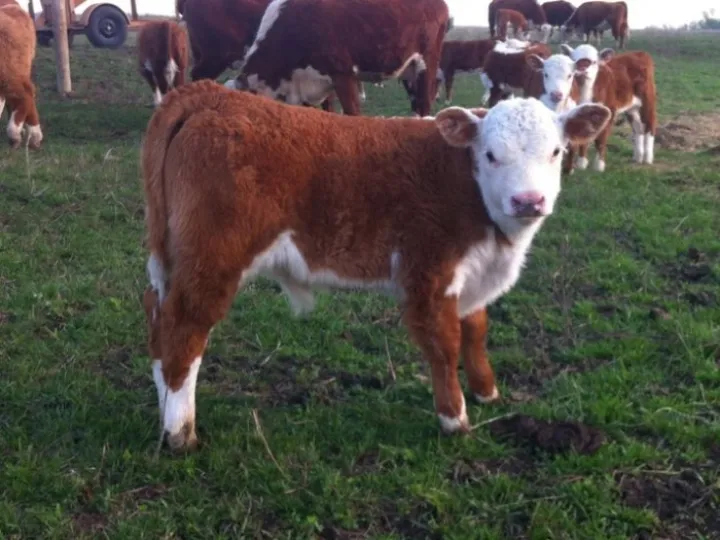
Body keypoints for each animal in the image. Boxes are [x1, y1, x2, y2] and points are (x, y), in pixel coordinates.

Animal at [141, 80, 611, 451]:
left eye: (556, 152)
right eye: (492, 155)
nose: (529, 201)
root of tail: (210, 95)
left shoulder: (472, 274)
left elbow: (476, 330)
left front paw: (486, 392)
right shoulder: (428, 273)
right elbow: (445, 343)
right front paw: (454, 418)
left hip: (169, 257)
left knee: (158, 319)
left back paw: (163, 409)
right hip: (213, 259)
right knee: (185, 328)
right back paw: (180, 432)